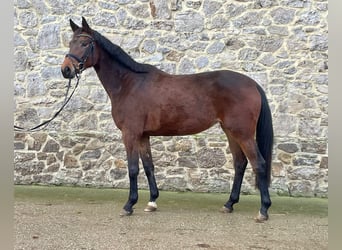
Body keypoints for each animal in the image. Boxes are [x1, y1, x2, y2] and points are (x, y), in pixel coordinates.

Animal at [61, 16, 274, 222]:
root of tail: (253, 84)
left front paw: (129, 205)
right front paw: (151, 202)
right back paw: (229, 204)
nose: (66, 70)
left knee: (259, 164)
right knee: (240, 164)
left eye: (84, 43)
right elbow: (148, 167)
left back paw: (263, 210)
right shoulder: (143, 136)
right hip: (230, 132)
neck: (129, 83)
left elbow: (133, 169)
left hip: (243, 133)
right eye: (70, 43)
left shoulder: (130, 134)